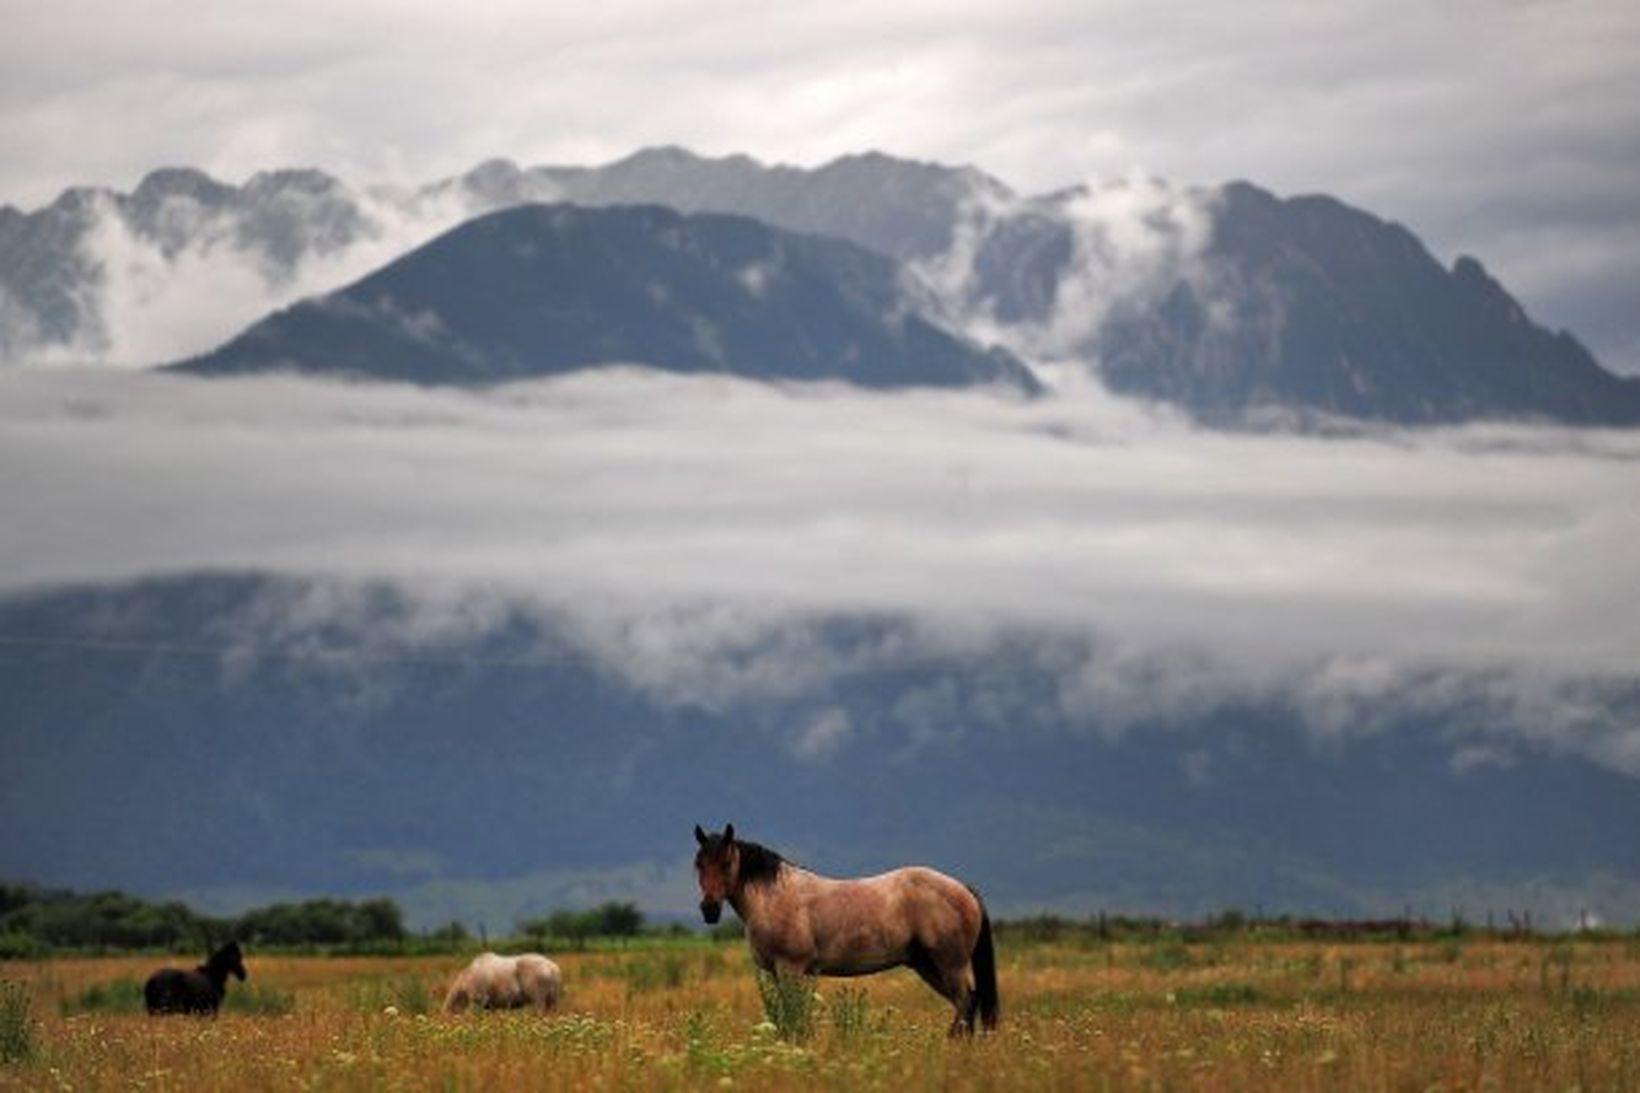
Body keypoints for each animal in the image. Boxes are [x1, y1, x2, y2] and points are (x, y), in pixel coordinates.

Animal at [692, 820, 997, 1037]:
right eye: (699, 865)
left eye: (726, 863)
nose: (709, 909)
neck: (774, 896)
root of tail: (963, 889)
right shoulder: (779, 973)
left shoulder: (791, 968)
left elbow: (794, 1016)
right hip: (927, 966)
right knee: (967, 1003)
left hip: (950, 963)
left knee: (965, 1001)